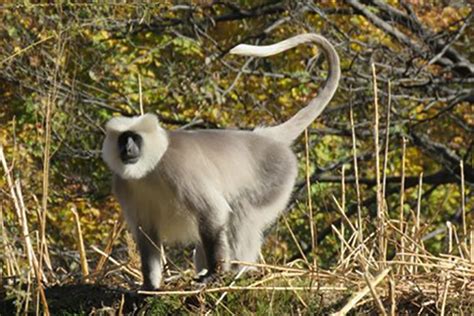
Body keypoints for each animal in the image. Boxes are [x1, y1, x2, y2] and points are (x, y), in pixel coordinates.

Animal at [103, 32, 340, 288]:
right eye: (123, 139)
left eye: (135, 138)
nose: (128, 148)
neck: (150, 170)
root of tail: (265, 137)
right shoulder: (124, 186)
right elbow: (147, 237)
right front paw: (150, 286)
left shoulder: (178, 170)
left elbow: (213, 213)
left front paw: (214, 274)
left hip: (278, 177)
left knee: (242, 212)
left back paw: (239, 272)